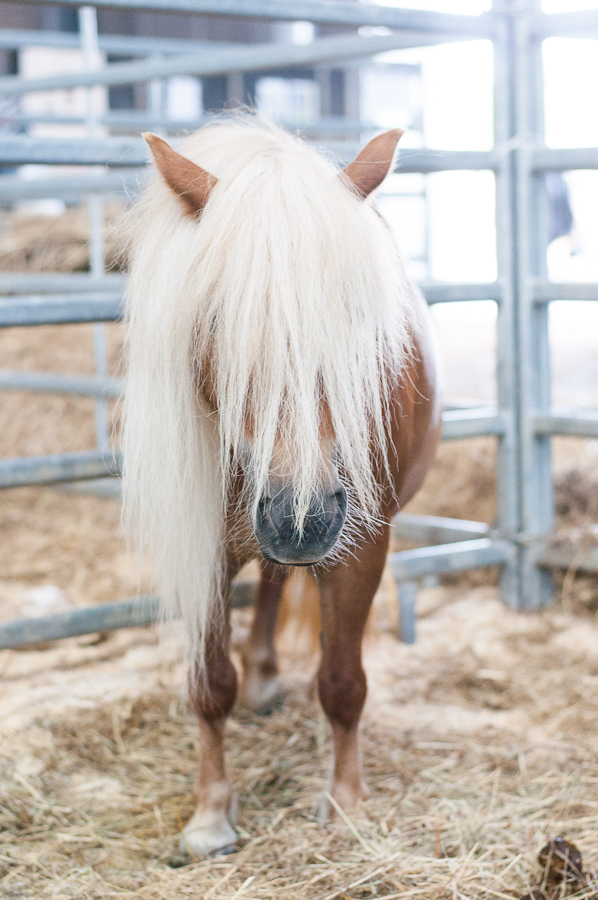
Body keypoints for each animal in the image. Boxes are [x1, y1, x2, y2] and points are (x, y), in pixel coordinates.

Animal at [122, 115, 442, 857]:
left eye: (357, 318)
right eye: (217, 321)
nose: (303, 518)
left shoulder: (362, 546)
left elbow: (343, 681)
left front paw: (347, 801)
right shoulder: (203, 544)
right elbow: (209, 683)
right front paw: (211, 814)